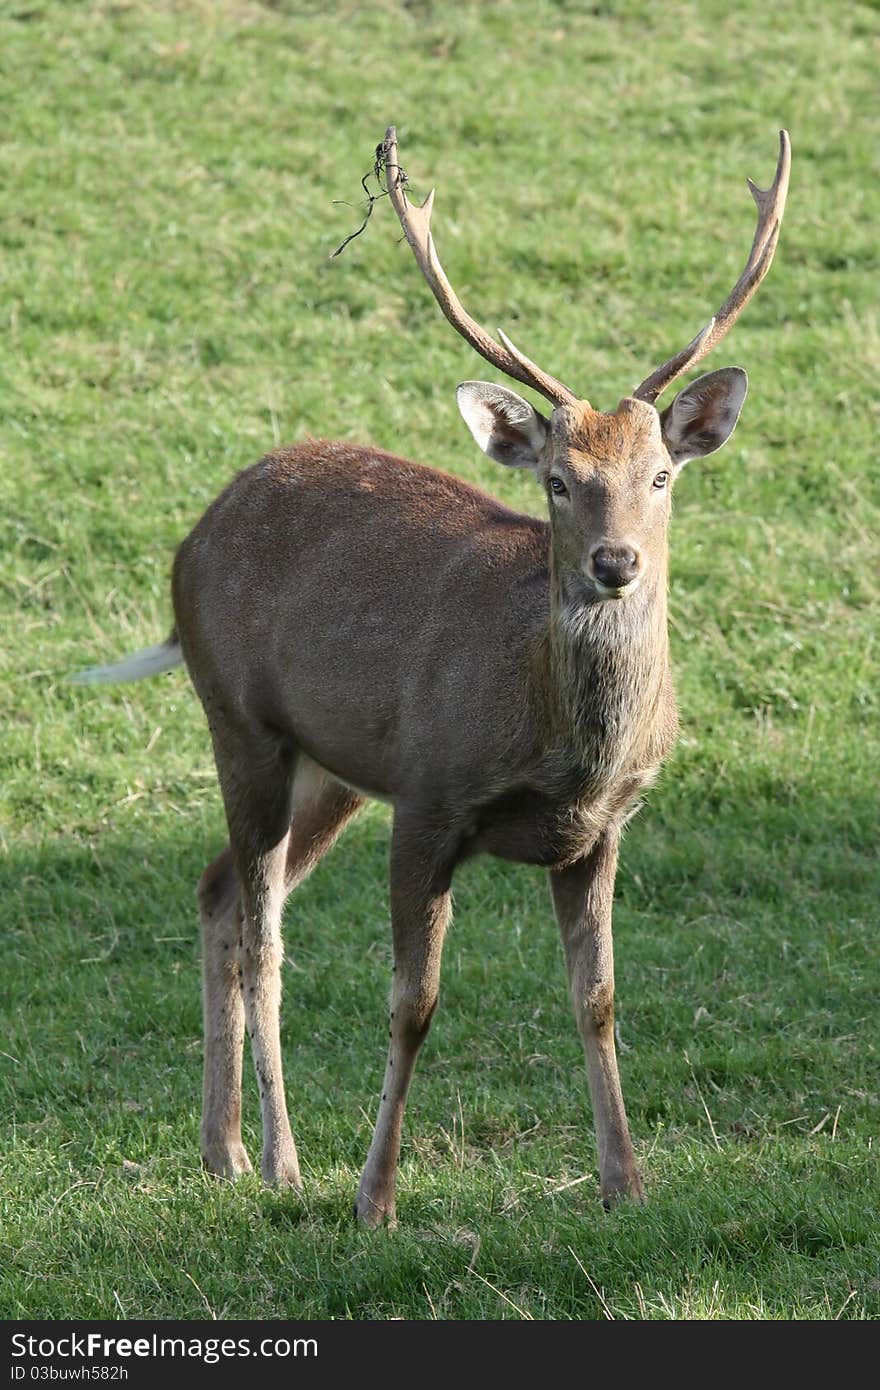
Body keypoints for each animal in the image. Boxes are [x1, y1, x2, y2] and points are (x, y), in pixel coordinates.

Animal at [77, 125, 789, 1223]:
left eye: (662, 475)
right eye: (559, 480)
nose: (615, 561)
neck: (561, 748)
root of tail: (189, 543)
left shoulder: (605, 828)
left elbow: (598, 997)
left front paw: (625, 1181)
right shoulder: (427, 798)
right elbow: (412, 1001)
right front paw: (375, 1195)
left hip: (331, 769)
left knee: (216, 890)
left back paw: (221, 1148)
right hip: (240, 721)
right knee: (263, 931)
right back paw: (282, 1160)